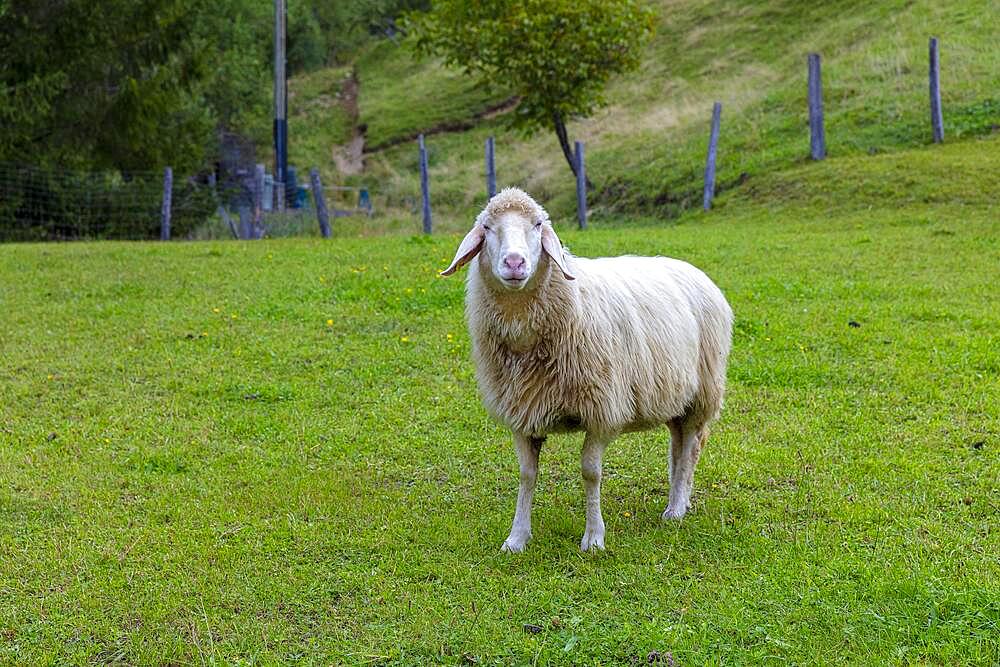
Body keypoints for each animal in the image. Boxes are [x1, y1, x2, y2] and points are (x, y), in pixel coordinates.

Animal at [442, 188, 732, 552]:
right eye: (486, 226)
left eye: (538, 225)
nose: (514, 263)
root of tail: (692, 269)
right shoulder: (522, 412)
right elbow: (526, 475)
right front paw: (517, 537)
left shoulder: (603, 409)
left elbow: (590, 472)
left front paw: (594, 537)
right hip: (673, 394)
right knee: (678, 446)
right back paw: (678, 498)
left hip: (702, 391)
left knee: (691, 445)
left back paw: (676, 508)